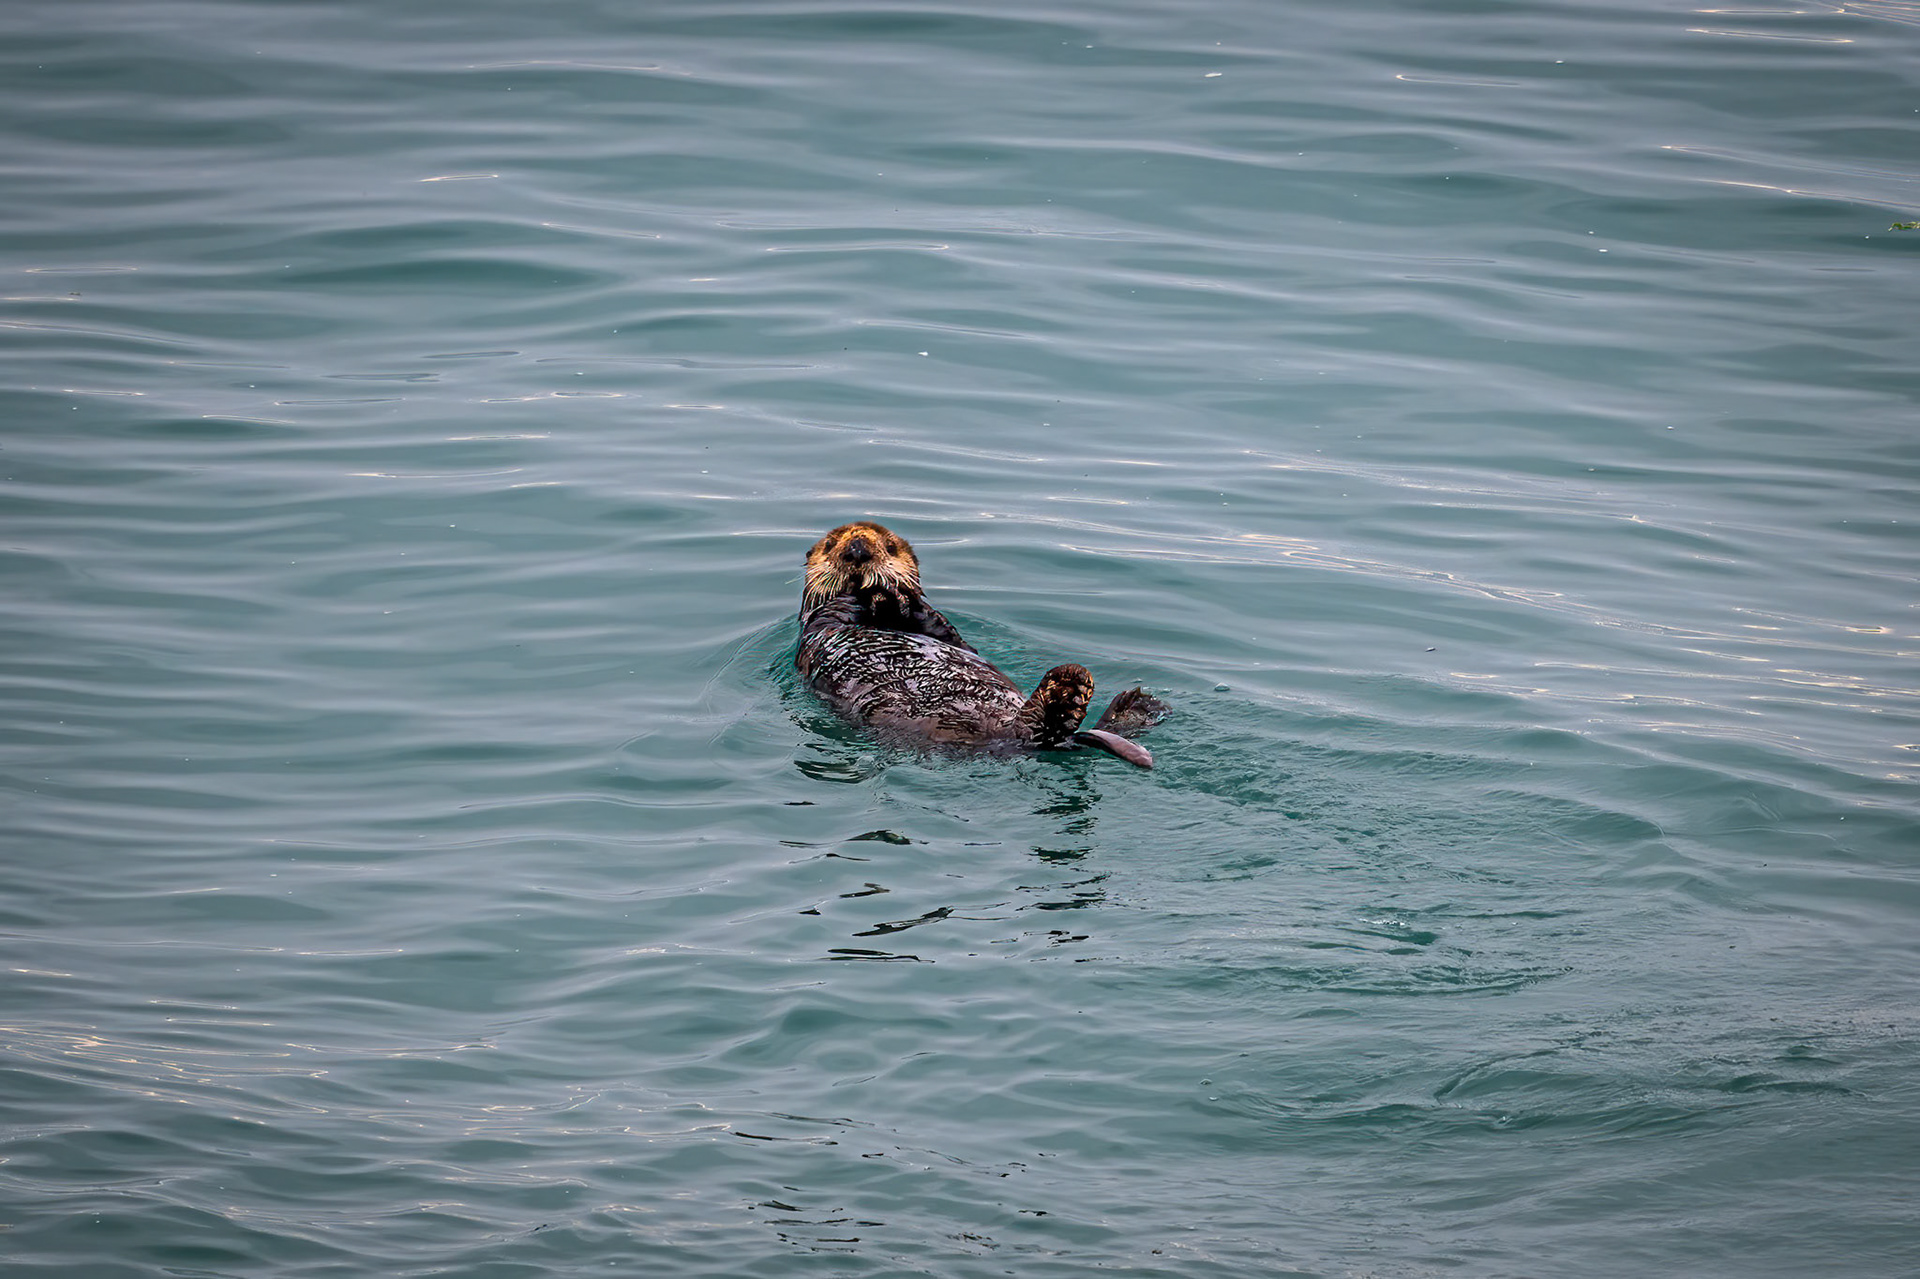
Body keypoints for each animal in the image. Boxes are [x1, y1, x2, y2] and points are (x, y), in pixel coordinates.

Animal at [794, 522, 1166, 767]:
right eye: (830, 545)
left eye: (890, 547)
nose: (857, 550)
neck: (881, 617)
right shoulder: (818, 626)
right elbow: (833, 611)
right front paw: (873, 592)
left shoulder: (944, 631)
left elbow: (937, 623)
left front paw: (893, 592)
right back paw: (1067, 691)